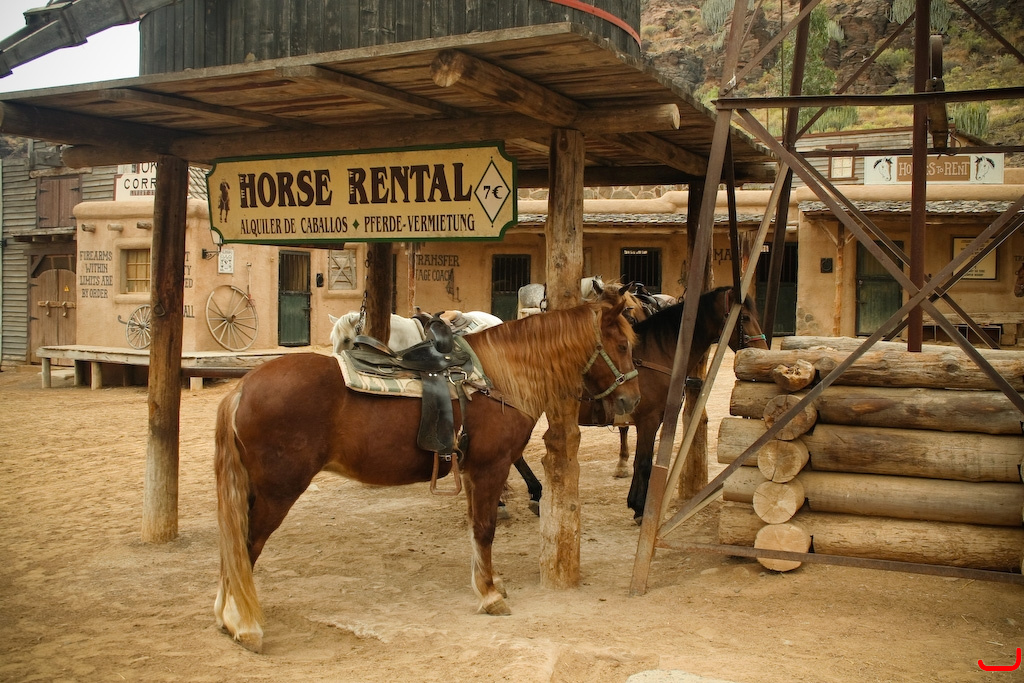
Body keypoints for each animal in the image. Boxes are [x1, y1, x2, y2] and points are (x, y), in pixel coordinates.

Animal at [213, 292, 641, 651]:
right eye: (622, 346)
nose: (631, 401)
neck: (500, 376)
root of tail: (242, 388)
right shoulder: (491, 468)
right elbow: (485, 529)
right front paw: (490, 595)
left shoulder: (471, 471)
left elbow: (474, 528)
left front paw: (486, 583)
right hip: (278, 491)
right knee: (248, 545)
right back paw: (244, 625)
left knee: (234, 545)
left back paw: (226, 616)